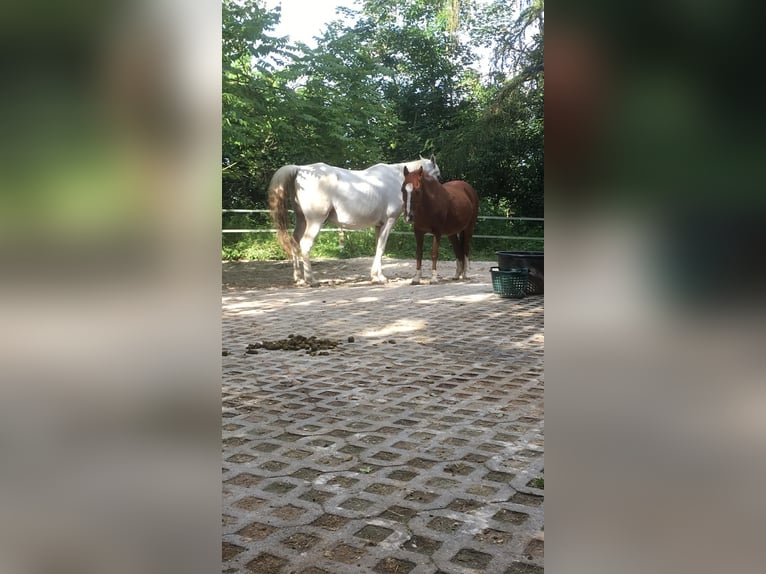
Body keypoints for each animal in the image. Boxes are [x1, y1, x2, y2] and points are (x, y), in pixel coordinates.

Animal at [268, 156, 441, 286]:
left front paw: (376, 276)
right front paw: (379, 278)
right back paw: (312, 280)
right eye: (437, 175)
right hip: (315, 221)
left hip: (302, 220)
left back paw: (299, 278)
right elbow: (381, 248)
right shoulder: (389, 222)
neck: (395, 179)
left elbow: (378, 248)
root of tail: (300, 169)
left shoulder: (379, 225)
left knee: (294, 242)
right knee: (305, 244)